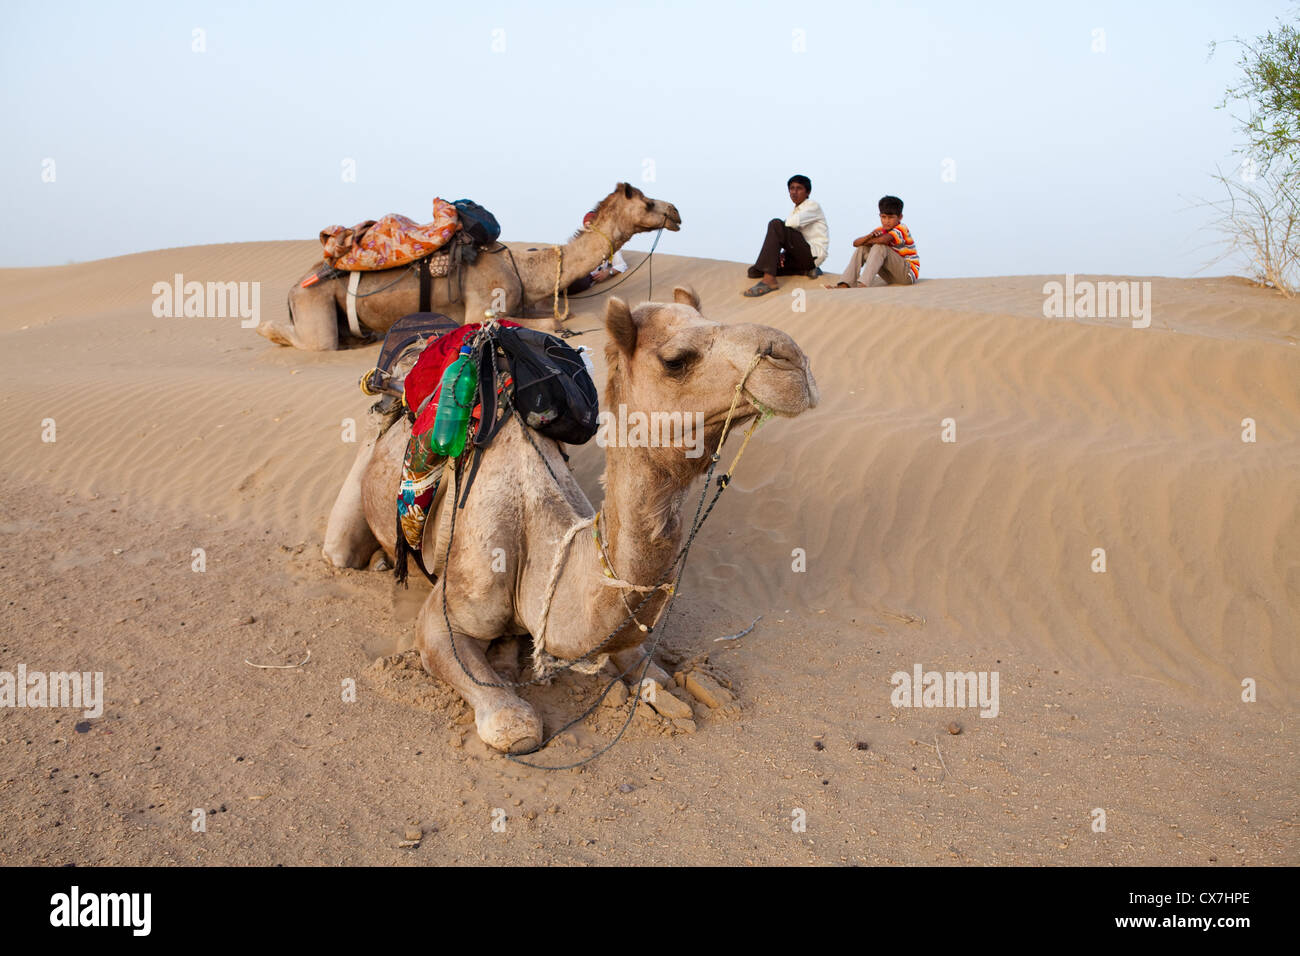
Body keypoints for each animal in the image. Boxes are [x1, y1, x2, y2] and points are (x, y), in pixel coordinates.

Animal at [253, 180, 681, 348]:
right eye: (646, 202)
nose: (675, 212)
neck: (523, 269)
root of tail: (297, 285)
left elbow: (561, 316)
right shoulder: (479, 310)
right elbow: (554, 324)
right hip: (313, 305)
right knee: (306, 337)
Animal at [321, 286, 816, 754]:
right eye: (676, 360)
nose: (792, 358)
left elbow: (654, 674)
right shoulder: (447, 612)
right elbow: (514, 724)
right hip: (366, 458)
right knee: (342, 550)